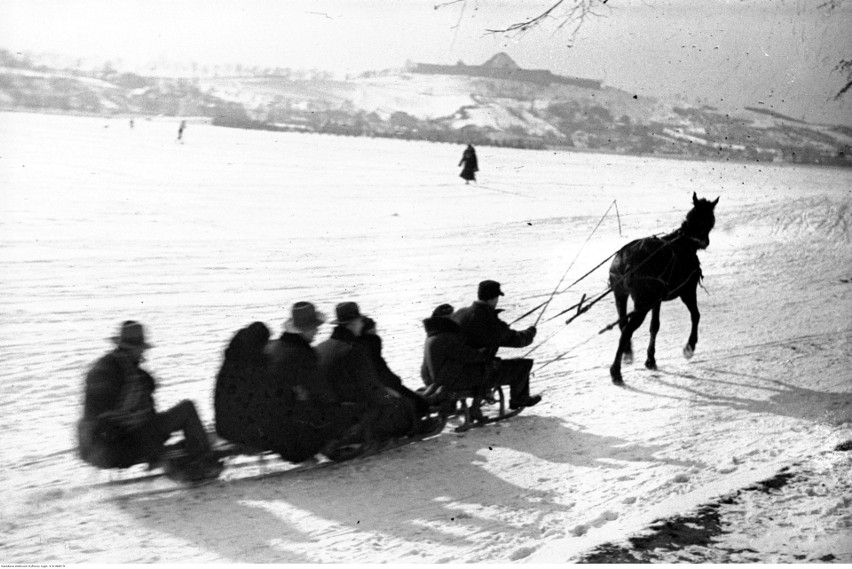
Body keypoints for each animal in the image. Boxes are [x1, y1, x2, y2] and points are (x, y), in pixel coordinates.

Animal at [604, 192, 720, 386]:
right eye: (711, 220)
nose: (705, 242)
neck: (684, 242)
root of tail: (625, 260)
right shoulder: (687, 290)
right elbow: (696, 316)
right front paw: (690, 347)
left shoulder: (656, 300)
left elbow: (654, 326)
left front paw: (650, 359)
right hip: (642, 303)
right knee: (627, 330)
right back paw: (615, 370)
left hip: (621, 295)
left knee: (622, 324)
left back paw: (627, 352)